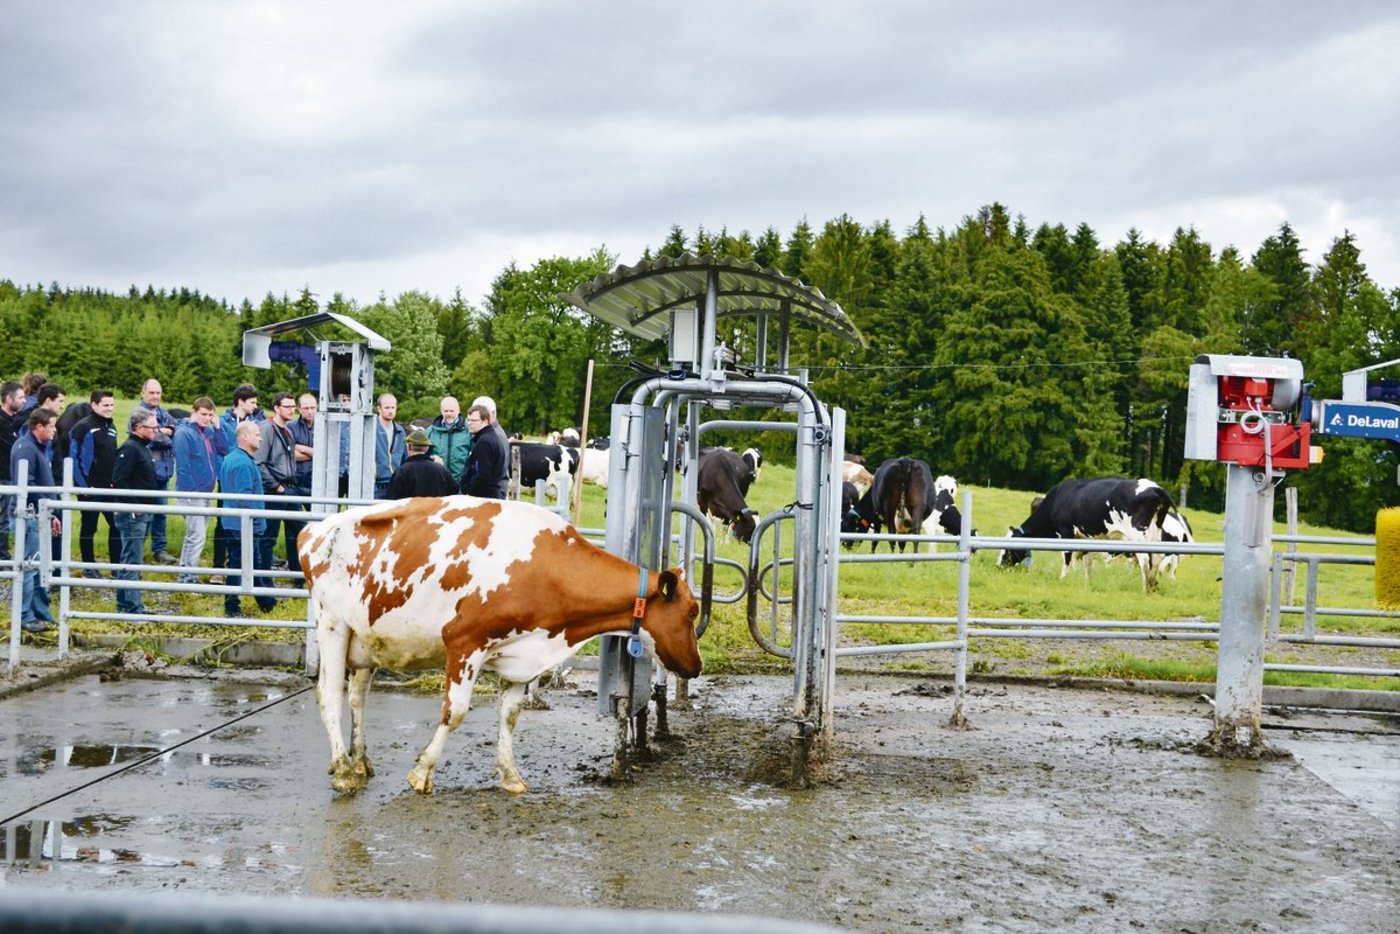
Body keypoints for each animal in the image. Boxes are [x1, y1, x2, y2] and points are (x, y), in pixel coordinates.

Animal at [298, 496, 702, 796]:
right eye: (692, 611)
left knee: (357, 697)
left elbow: (509, 715)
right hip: (332, 624)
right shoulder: (464, 642)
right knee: (329, 694)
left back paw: (360, 762)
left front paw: (510, 775)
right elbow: (455, 712)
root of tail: (314, 529)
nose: (696, 667)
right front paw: (423, 771)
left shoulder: (523, 655)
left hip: (365, 639)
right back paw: (344, 771)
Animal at [998, 477, 1175, 592]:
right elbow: (1087, 562)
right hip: (1155, 530)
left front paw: (1062, 579)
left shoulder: (1066, 531)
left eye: (1007, 549)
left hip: (1137, 533)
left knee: (1144, 559)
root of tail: (1155, 487)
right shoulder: (1085, 537)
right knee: (1157, 557)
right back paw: (1153, 584)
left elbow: (1067, 557)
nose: (998, 566)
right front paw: (1087, 584)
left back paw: (1145, 589)